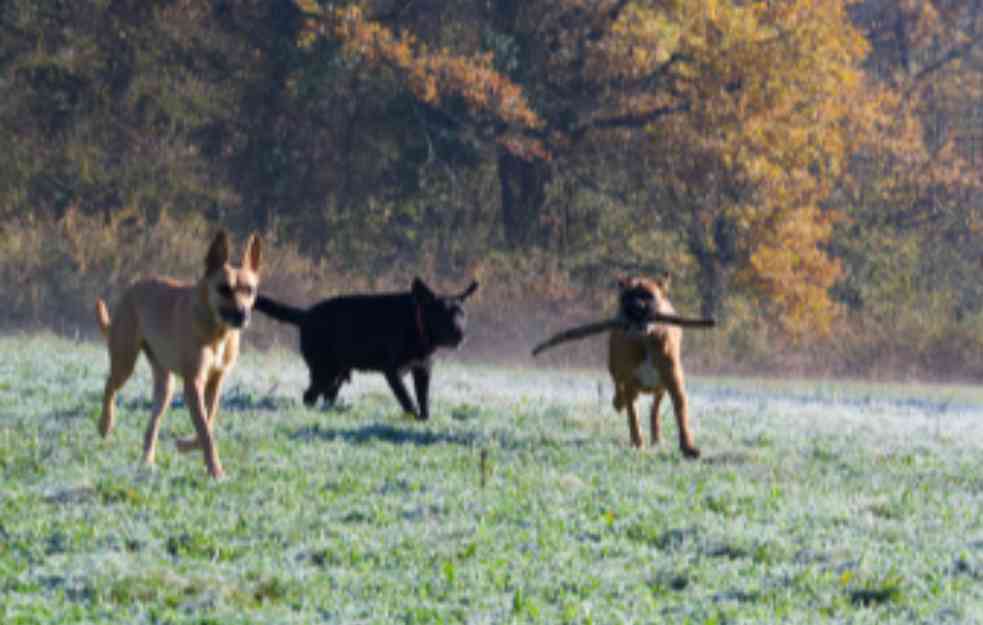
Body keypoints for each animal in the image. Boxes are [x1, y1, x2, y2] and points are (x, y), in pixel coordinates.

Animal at [95, 229, 262, 478]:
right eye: (224, 288)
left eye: (249, 290)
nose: (243, 315)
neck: (217, 331)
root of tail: (132, 288)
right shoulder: (193, 383)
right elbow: (205, 431)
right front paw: (216, 471)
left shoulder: (215, 381)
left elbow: (208, 420)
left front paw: (186, 445)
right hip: (125, 360)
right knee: (109, 386)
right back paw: (105, 424)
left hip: (165, 386)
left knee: (152, 424)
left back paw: (147, 461)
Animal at [256, 278, 478, 420]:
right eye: (442, 313)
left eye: (462, 314)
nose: (461, 334)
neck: (416, 324)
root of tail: (306, 315)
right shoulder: (392, 372)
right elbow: (406, 398)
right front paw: (413, 416)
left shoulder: (422, 370)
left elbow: (423, 399)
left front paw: (424, 419)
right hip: (324, 371)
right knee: (308, 396)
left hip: (336, 374)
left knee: (326, 396)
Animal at [608, 272, 700, 458]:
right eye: (626, 296)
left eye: (648, 296)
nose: (636, 306)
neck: (646, 340)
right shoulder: (630, 383)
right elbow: (633, 416)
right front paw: (637, 443)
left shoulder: (674, 384)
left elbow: (681, 415)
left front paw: (687, 447)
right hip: (614, 367)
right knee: (618, 386)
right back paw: (619, 402)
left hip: (661, 386)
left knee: (654, 410)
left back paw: (656, 438)